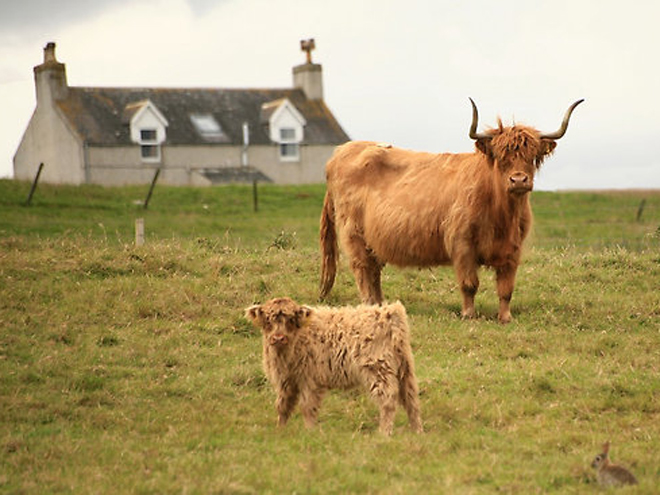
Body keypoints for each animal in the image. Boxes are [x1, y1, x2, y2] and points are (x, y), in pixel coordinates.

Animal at [244, 298, 422, 434]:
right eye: (268, 320)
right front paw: (280, 430)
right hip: (405, 369)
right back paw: (417, 432)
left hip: (378, 369)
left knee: (388, 401)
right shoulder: (286, 381)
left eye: (291, 320)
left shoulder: (310, 380)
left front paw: (310, 432)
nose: (278, 338)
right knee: (411, 400)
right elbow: (283, 406)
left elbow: (307, 407)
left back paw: (384, 433)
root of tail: (389, 311)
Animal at [320, 97, 584, 324]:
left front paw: (505, 317)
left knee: (374, 271)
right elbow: (469, 284)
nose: (518, 180)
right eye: (501, 157)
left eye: (532, 157)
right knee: (363, 269)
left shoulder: (513, 249)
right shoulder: (462, 243)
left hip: (373, 240)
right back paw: (369, 305)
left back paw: (380, 305)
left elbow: (506, 288)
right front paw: (469, 314)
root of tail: (340, 152)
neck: (502, 216)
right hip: (354, 233)